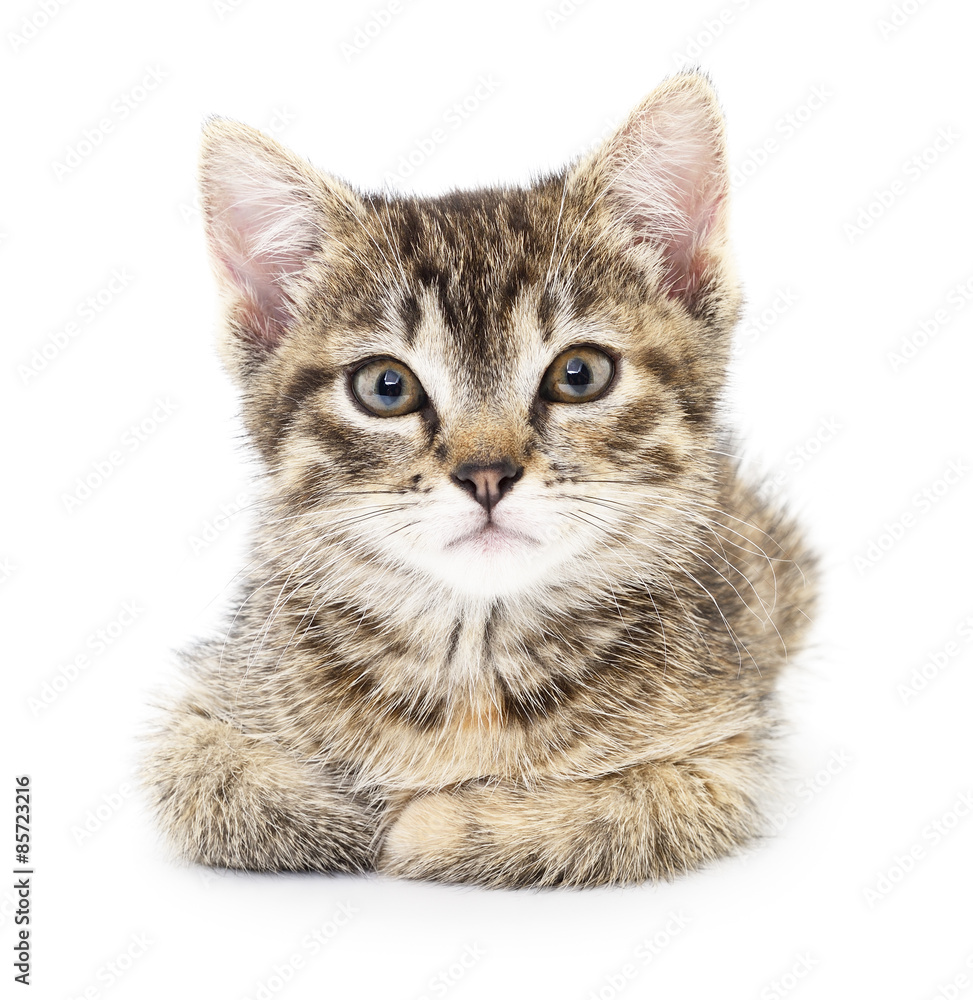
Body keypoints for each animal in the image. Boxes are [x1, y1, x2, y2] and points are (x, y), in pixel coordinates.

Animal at [142, 74, 812, 888]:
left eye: (579, 374)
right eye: (387, 386)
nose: (486, 474)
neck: (474, 660)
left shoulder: (726, 749)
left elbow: (620, 812)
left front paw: (433, 822)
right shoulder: (210, 698)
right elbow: (206, 782)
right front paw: (347, 812)